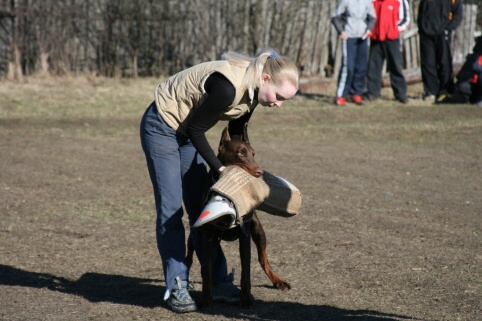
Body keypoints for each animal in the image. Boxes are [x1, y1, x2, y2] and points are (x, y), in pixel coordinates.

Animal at [185, 125, 290, 308]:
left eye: (253, 154)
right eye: (240, 153)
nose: (259, 172)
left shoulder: (244, 236)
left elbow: (245, 270)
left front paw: (246, 298)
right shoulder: (206, 236)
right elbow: (206, 269)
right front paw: (205, 299)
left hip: (258, 230)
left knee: (263, 259)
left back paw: (278, 281)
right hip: (194, 233)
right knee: (190, 255)